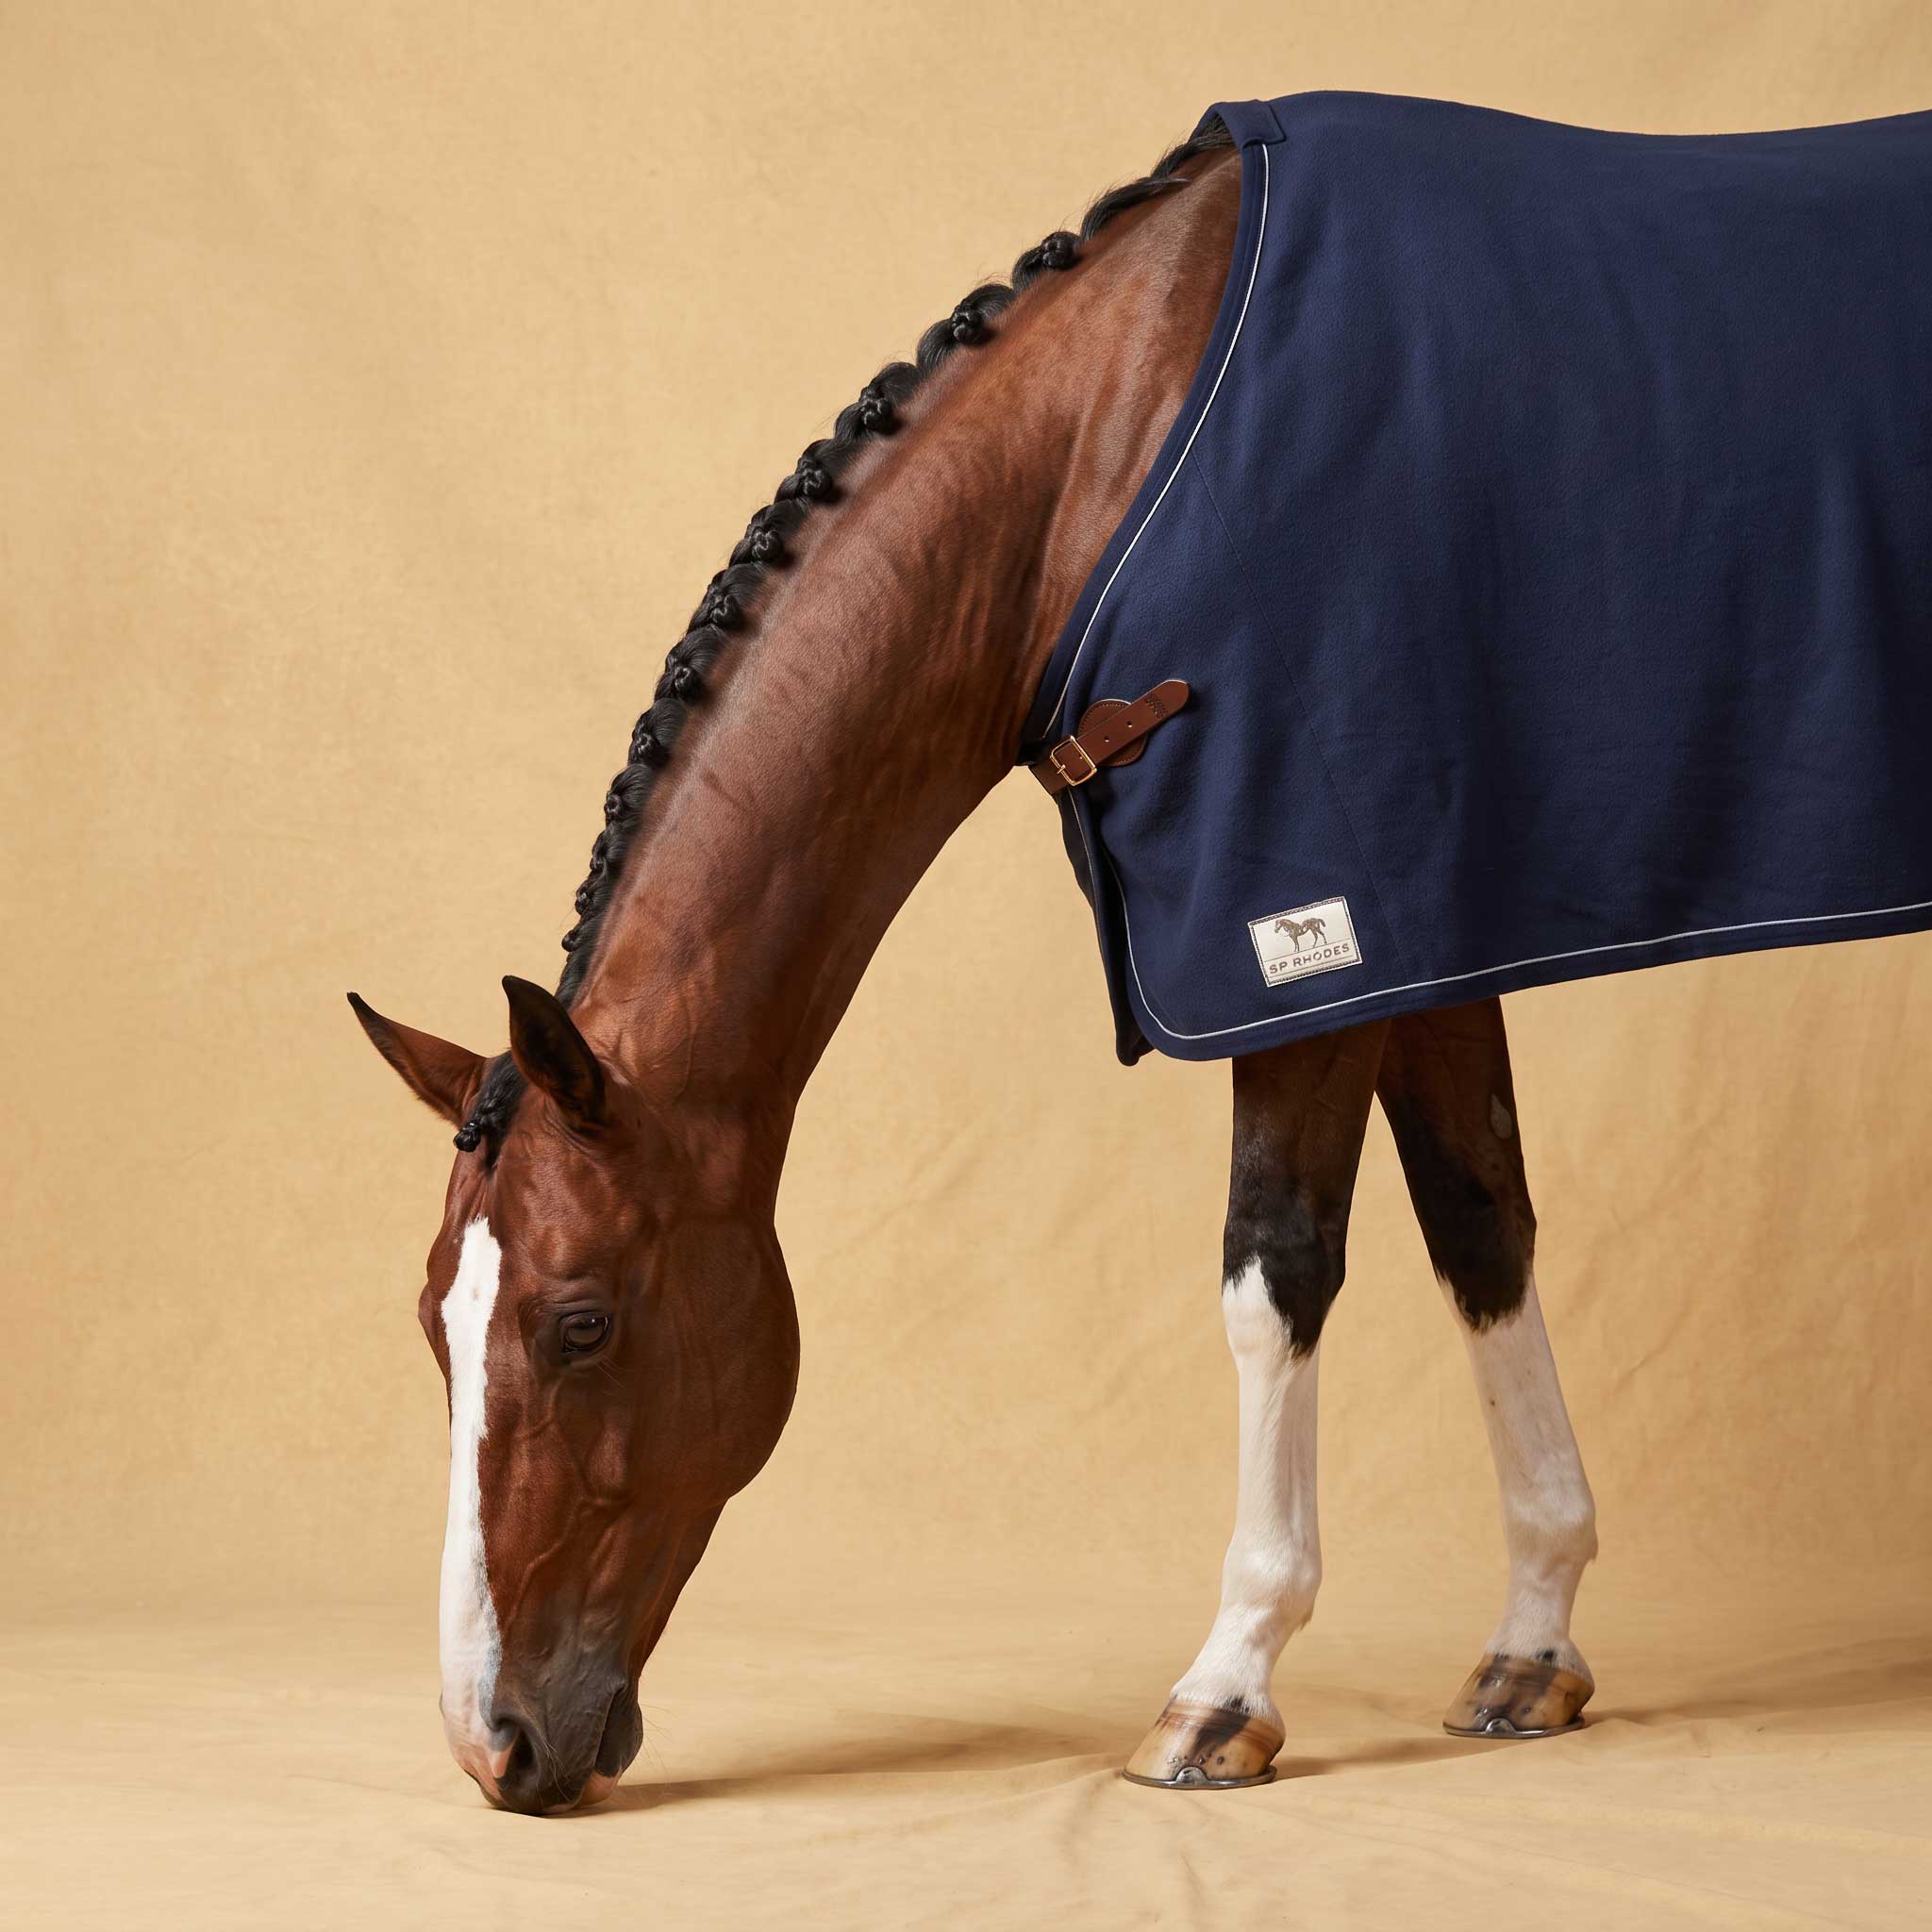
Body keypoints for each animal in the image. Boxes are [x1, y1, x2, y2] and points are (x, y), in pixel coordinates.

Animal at [349, 95, 1932, 1811]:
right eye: (433, 1320)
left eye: (578, 1323)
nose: (496, 1741)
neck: (1117, 456)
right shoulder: (1429, 932)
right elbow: (1482, 1230)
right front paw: (1532, 1639)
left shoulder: (1302, 940)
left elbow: (1275, 1270)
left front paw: (1228, 1680)